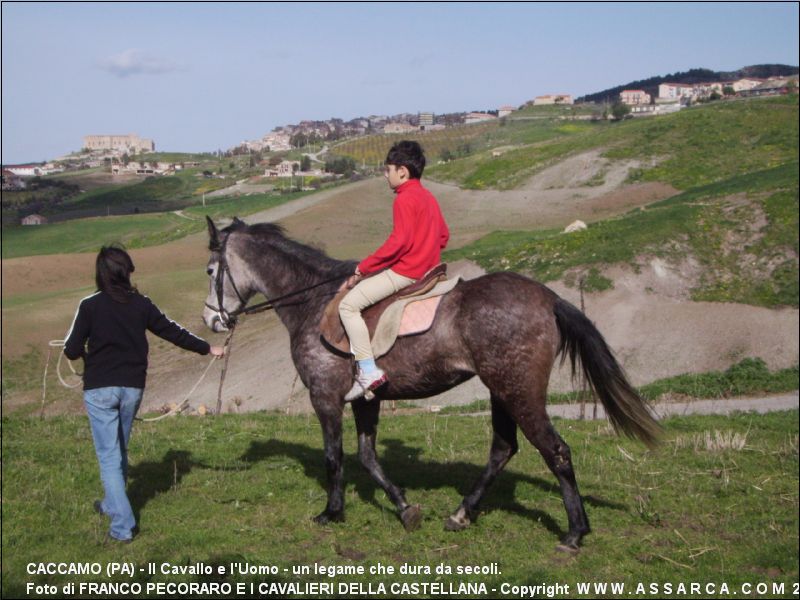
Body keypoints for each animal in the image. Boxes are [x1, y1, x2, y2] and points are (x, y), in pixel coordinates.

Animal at [203, 218, 660, 552]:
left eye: (210, 271)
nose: (211, 320)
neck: (313, 303)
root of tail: (548, 298)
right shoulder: (366, 400)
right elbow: (367, 456)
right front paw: (404, 507)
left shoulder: (325, 397)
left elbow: (334, 457)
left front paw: (331, 513)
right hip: (501, 391)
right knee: (503, 449)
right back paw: (462, 514)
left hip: (518, 391)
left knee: (556, 451)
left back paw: (574, 532)